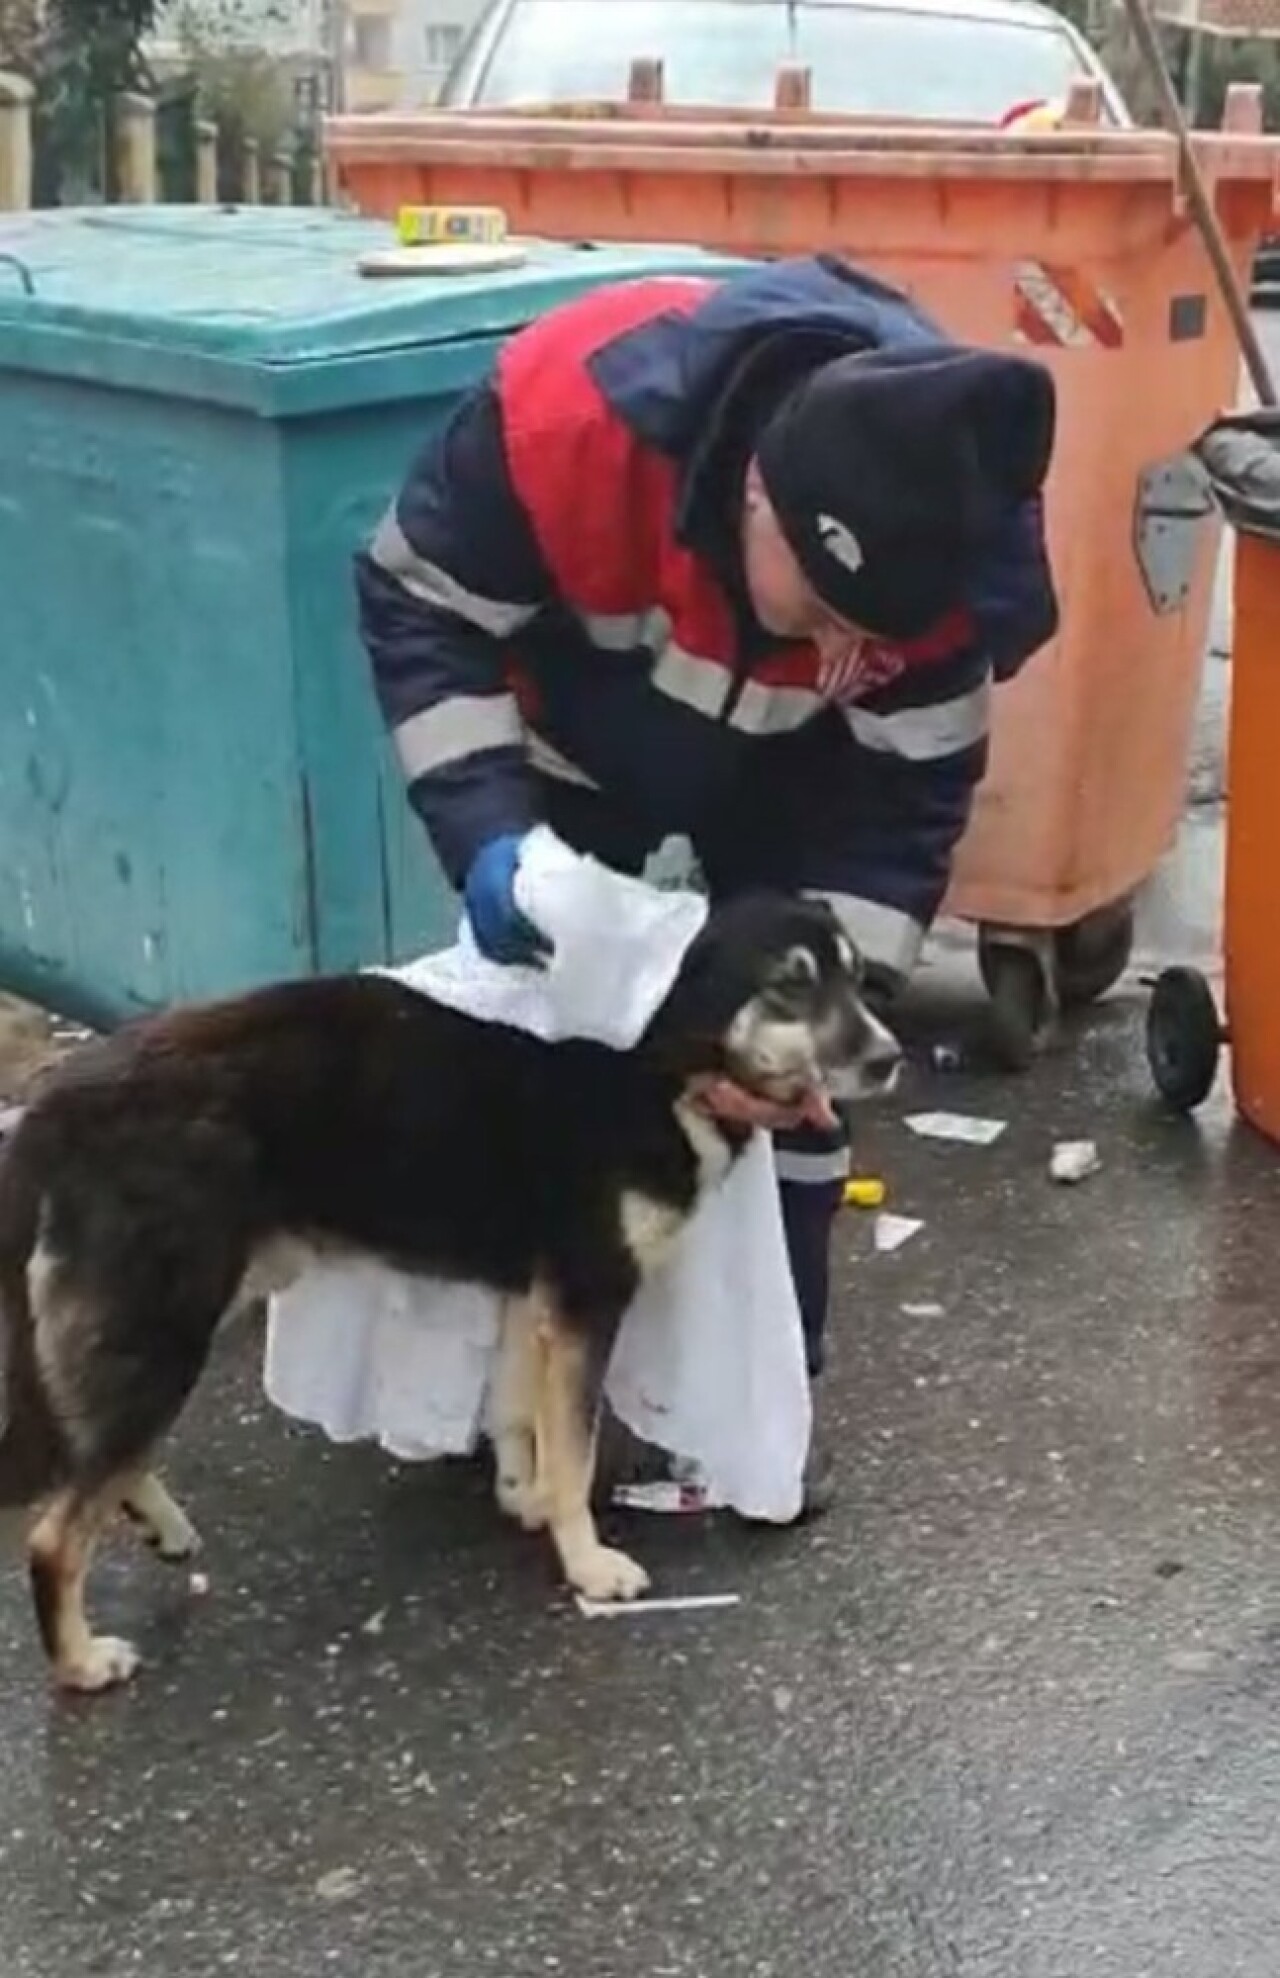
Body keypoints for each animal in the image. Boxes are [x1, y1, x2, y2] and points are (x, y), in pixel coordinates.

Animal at [0, 894, 902, 1685]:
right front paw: (588, 1563)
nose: (890, 1057)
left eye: (856, 978)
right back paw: (80, 1661)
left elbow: (517, 1414)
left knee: (102, 1459)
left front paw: (521, 1497)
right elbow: (573, 1451)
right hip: (165, 1318)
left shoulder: (532, 1300)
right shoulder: (588, 1300)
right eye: (791, 984)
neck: (665, 1083)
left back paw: (159, 1525)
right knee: (55, 1530)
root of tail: (52, 1108)